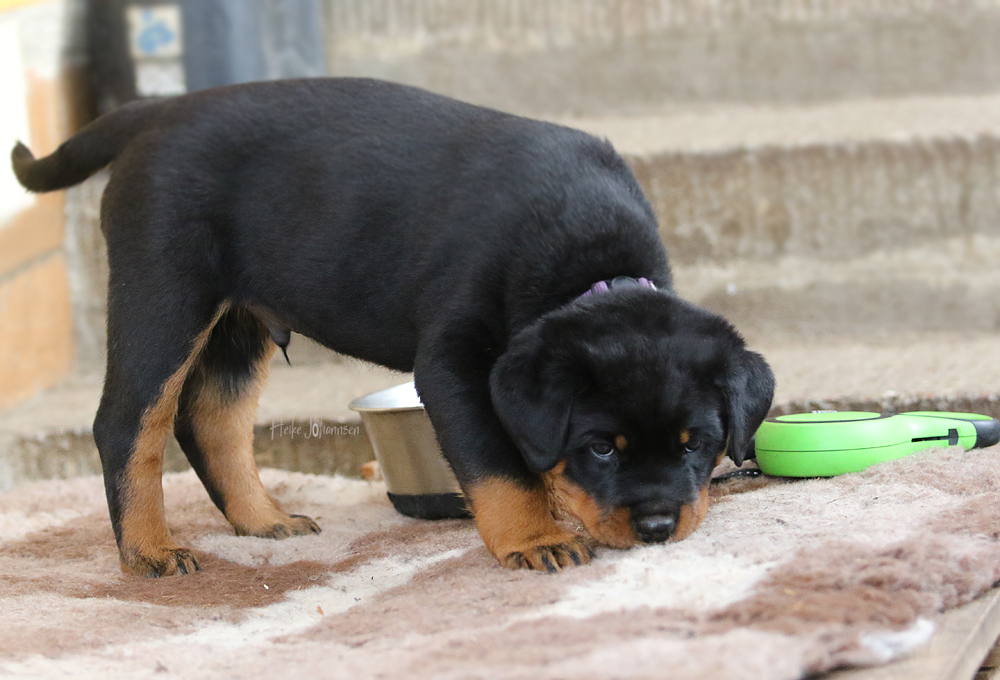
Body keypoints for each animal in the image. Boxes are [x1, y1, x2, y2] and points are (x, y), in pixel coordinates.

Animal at [12, 78, 774, 577]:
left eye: (698, 445)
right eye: (600, 448)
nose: (657, 528)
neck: (589, 262)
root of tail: (161, 107)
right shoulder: (453, 362)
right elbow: (497, 461)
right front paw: (534, 539)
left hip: (237, 320)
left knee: (211, 420)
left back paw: (263, 520)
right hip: (163, 291)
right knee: (128, 423)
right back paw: (150, 551)